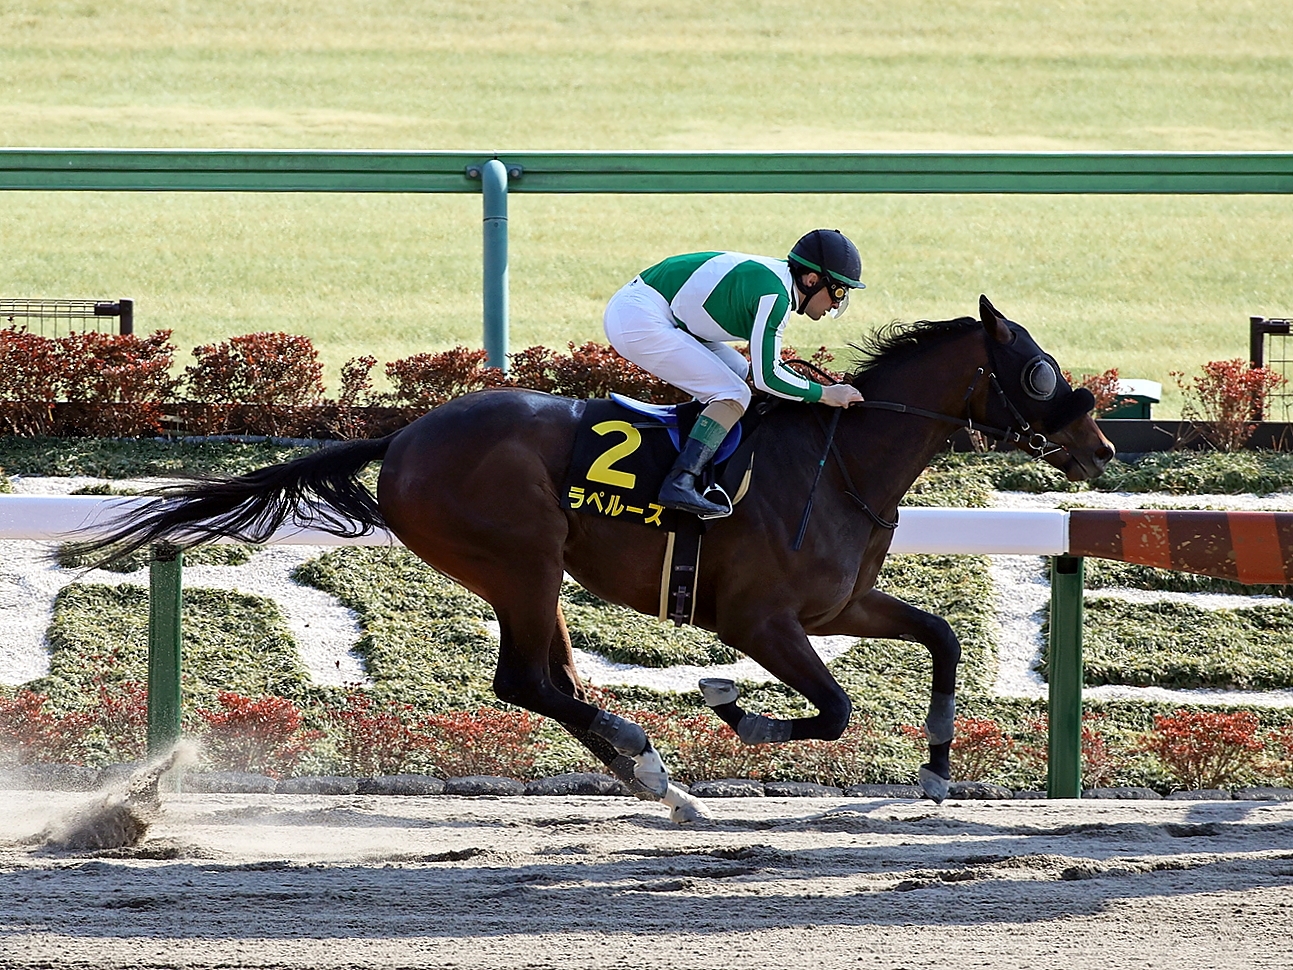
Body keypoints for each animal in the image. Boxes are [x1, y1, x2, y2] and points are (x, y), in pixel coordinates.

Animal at [73, 296, 1111, 822]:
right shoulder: (760, 620)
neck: (844, 462)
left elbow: (939, 639)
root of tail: (402, 437)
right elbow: (834, 707)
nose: (1099, 444)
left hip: (533, 577)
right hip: (520, 562)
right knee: (526, 680)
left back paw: (658, 782)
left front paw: (935, 771)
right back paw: (649, 760)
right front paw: (729, 705)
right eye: (1038, 370)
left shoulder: (838, 607)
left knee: (553, 681)